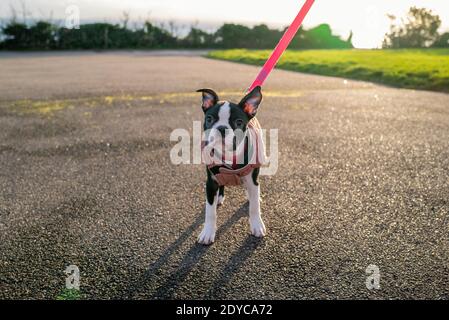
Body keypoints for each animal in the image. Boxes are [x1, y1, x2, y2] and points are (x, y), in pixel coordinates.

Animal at [196, 86, 266, 244]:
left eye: (239, 122)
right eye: (209, 119)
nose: (222, 128)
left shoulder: (252, 179)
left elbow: (254, 207)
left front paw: (257, 225)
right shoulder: (210, 182)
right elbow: (210, 212)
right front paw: (207, 232)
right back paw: (219, 197)